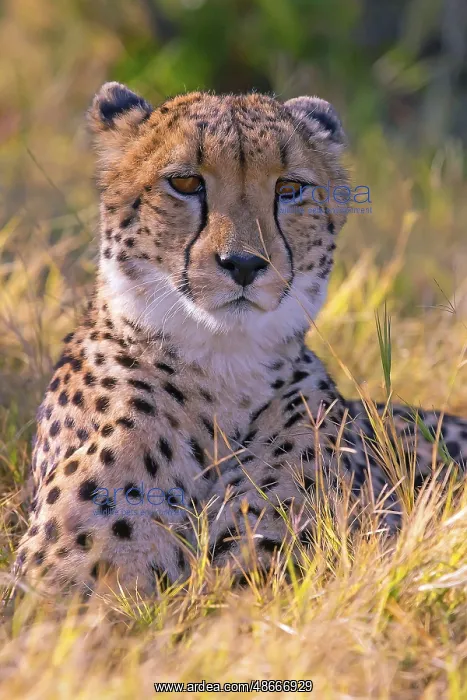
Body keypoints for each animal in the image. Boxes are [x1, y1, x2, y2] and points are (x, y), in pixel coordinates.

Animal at [12, 82, 467, 598]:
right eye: (186, 183)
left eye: (289, 190)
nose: (245, 264)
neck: (222, 371)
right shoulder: (53, 590)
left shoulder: (270, 576)